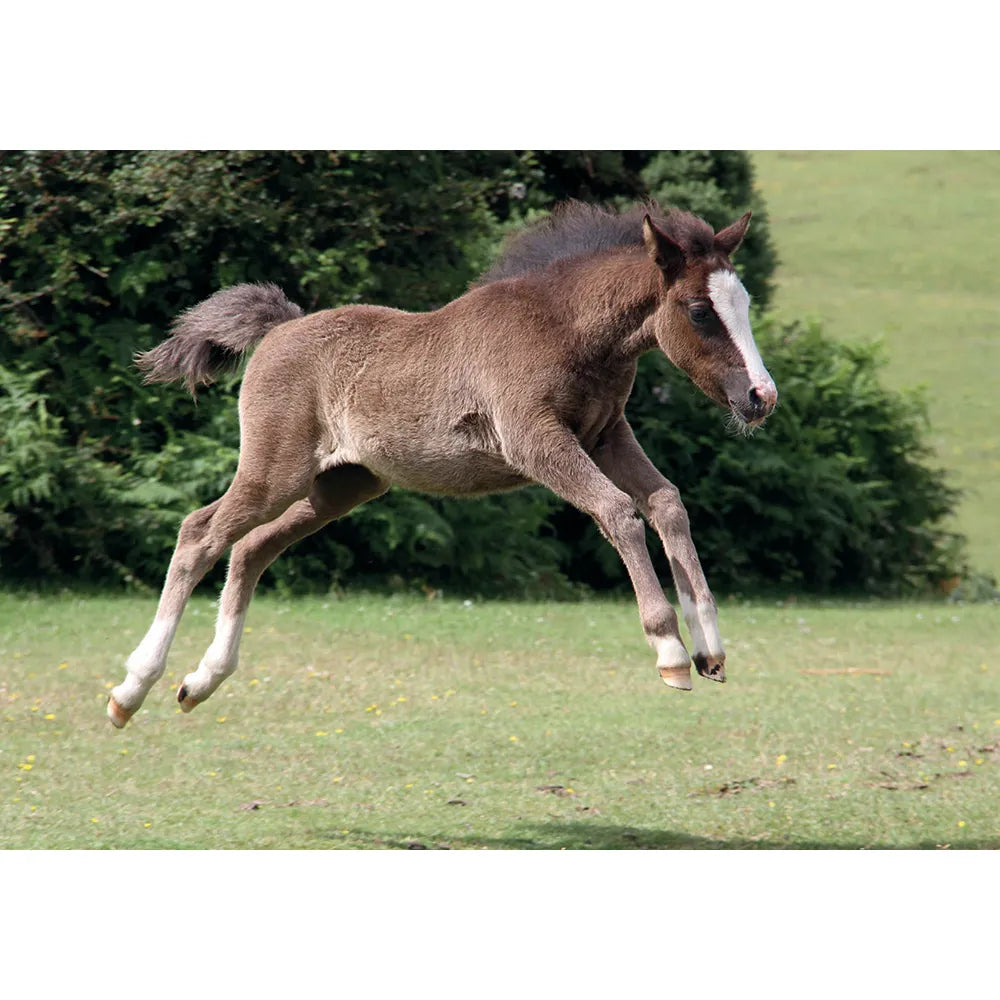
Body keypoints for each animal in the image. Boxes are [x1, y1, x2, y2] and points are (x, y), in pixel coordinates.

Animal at [107, 201, 777, 729]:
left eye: (742, 303)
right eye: (698, 311)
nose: (761, 398)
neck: (566, 329)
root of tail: (281, 328)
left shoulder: (607, 435)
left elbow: (666, 502)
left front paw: (709, 647)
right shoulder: (535, 441)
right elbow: (618, 511)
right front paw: (669, 651)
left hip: (340, 486)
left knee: (249, 549)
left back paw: (200, 681)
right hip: (275, 472)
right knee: (200, 533)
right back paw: (131, 689)